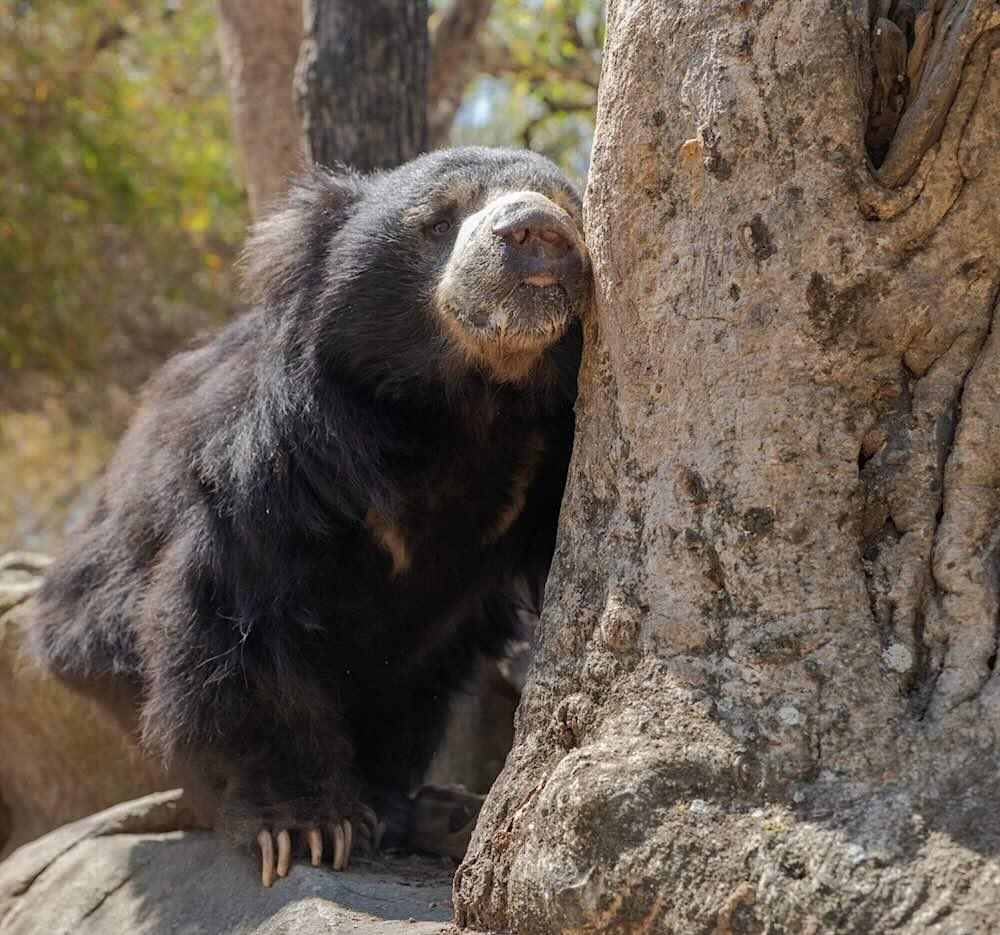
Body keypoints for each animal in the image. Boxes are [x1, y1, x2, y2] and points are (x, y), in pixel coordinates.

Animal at [28, 147, 589, 886]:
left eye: (573, 208)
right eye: (438, 219)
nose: (537, 231)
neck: (467, 407)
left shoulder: (544, 469)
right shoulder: (282, 452)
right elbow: (236, 618)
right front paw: (303, 825)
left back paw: (434, 812)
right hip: (93, 632)